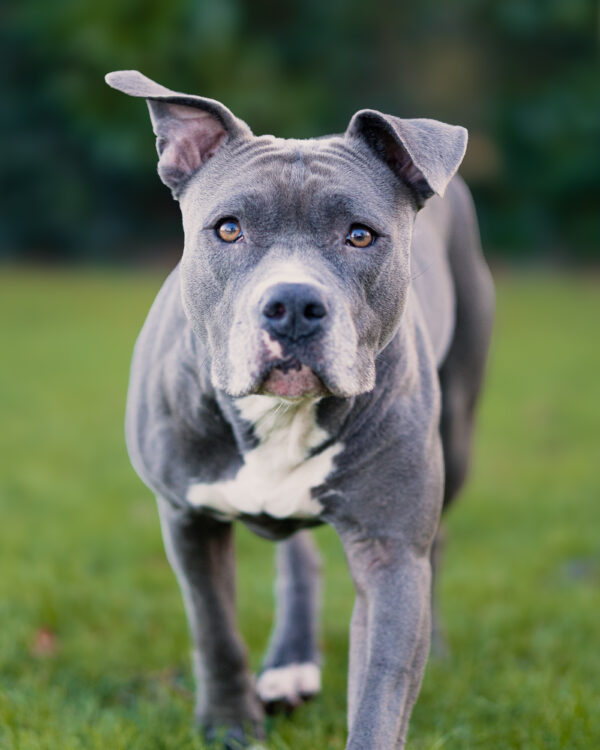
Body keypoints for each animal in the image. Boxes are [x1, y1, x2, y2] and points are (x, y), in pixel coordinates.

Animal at [106, 70, 492, 750]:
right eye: (227, 229)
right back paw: (289, 663)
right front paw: (230, 724)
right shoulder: (185, 515)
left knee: (439, 541)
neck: (283, 416)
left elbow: (381, 689)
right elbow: (215, 630)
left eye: (360, 234)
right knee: (298, 558)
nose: (291, 303)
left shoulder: (392, 553)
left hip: (460, 426)